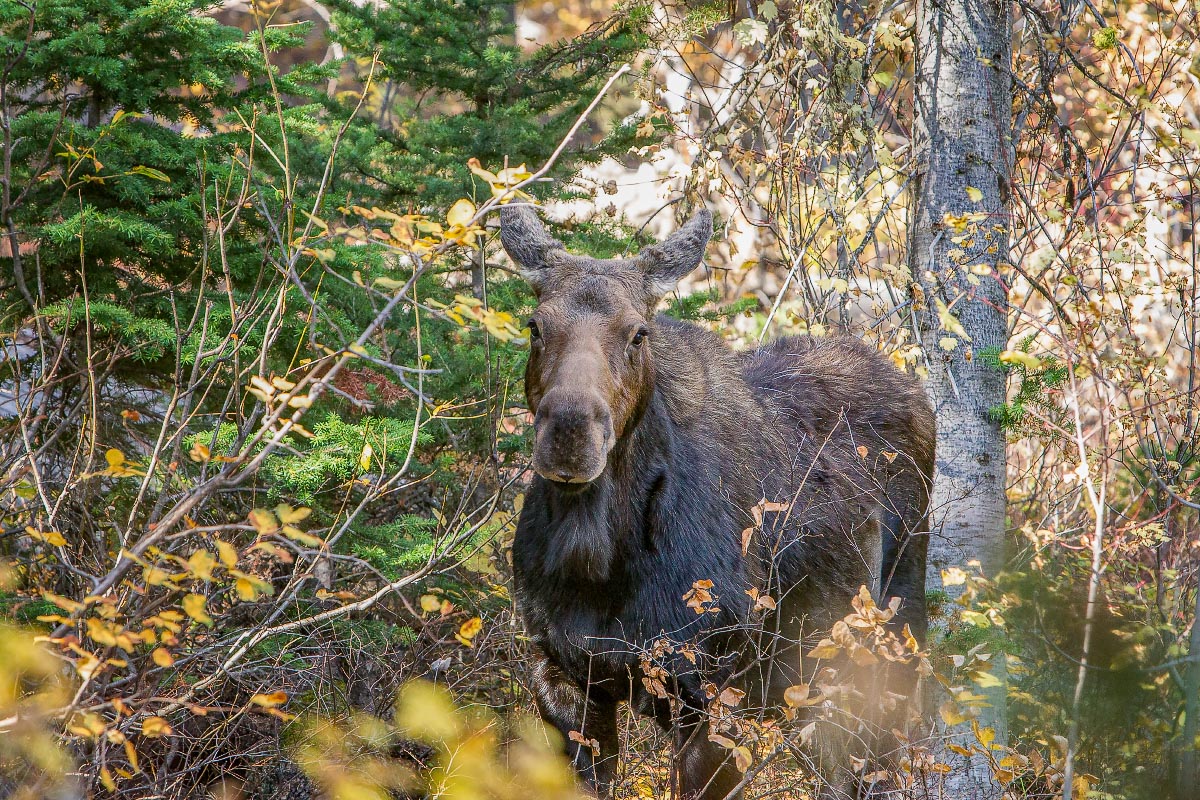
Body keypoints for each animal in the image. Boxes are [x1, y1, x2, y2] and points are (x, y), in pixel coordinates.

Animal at [501, 206, 931, 800]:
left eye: (639, 333)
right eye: (535, 326)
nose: (569, 432)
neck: (598, 561)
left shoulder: (712, 689)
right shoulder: (560, 675)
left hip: (889, 644)